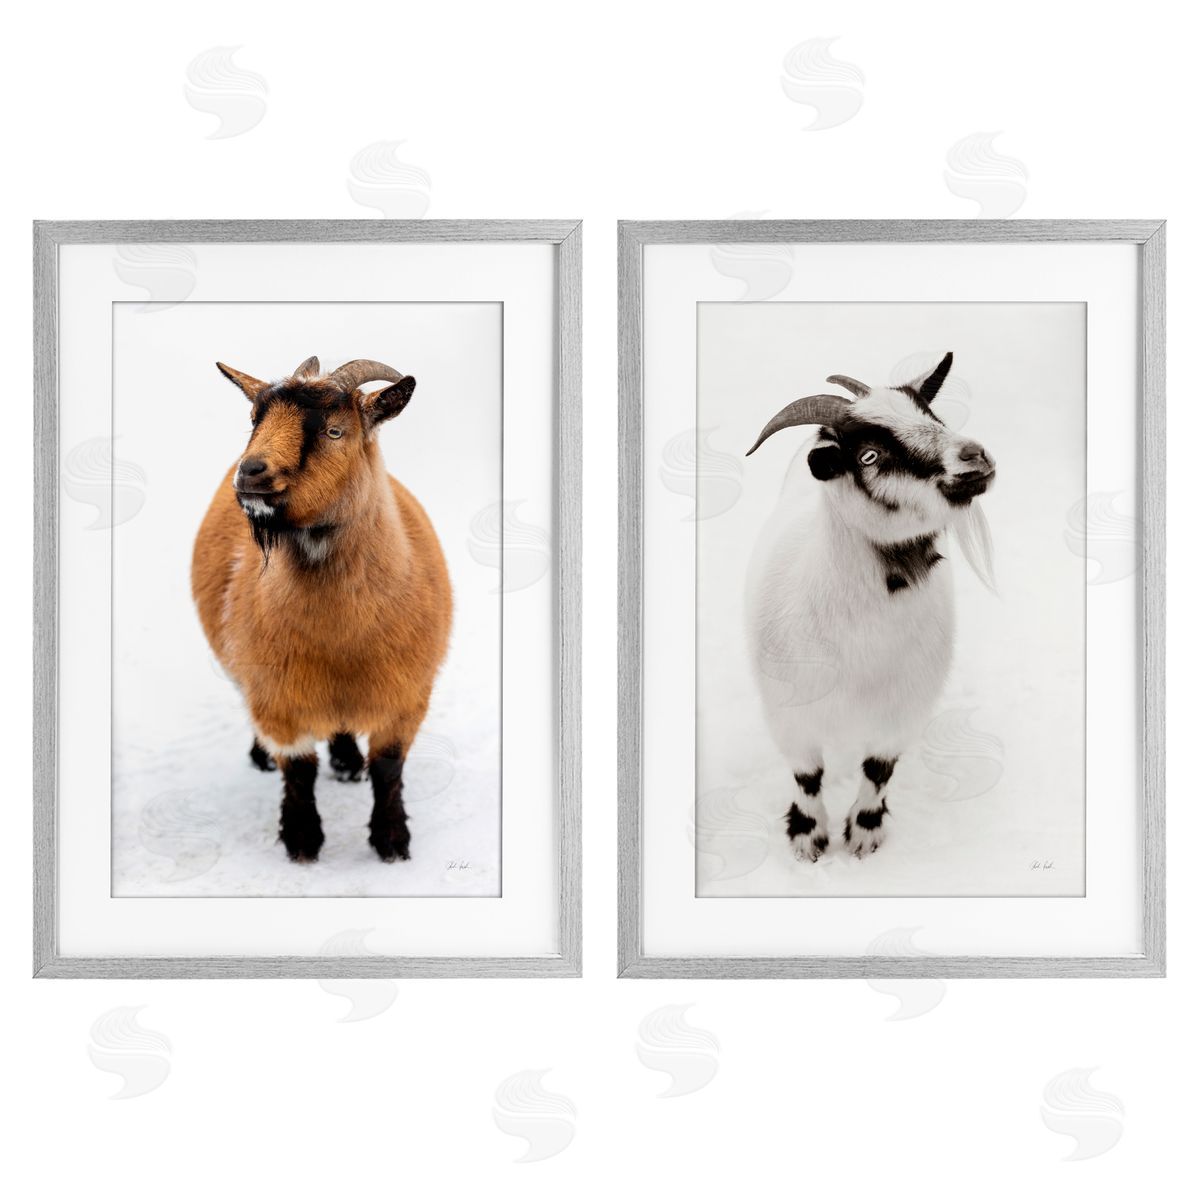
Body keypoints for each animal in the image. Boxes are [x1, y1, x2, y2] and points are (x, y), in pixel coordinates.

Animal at [191, 356, 452, 863]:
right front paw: (302, 840)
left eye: (335, 431)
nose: (250, 473)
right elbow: (299, 770)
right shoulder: (278, 697)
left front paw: (392, 842)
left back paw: (348, 760)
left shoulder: (407, 695)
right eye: (255, 419)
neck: (341, 639)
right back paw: (264, 757)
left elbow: (388, 769)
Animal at [744, 352, 995, 860]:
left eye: (934, 417)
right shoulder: (788, 713)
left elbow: (878, 771)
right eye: (870, 455)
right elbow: (807, 775)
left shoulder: (904, 709)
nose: (974, 456)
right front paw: (808, 839)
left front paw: (863, 835)